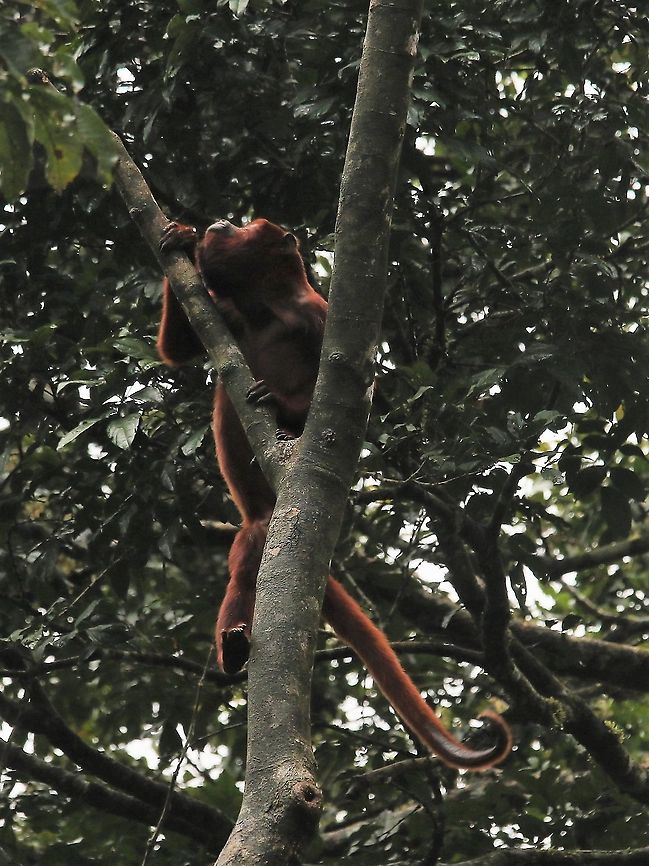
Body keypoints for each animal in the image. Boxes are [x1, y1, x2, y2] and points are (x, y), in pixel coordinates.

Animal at [157, 217, 512, 769]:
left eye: (247, 226)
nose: (219, 223)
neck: (265, 308)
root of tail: (267, 512)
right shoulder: (226, 314)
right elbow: (176, 349)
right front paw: (177, 236)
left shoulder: (320, 316)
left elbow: (365, 403)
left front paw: (280, 401)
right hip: (254, 530)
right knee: (243, 573)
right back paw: (234, 648)